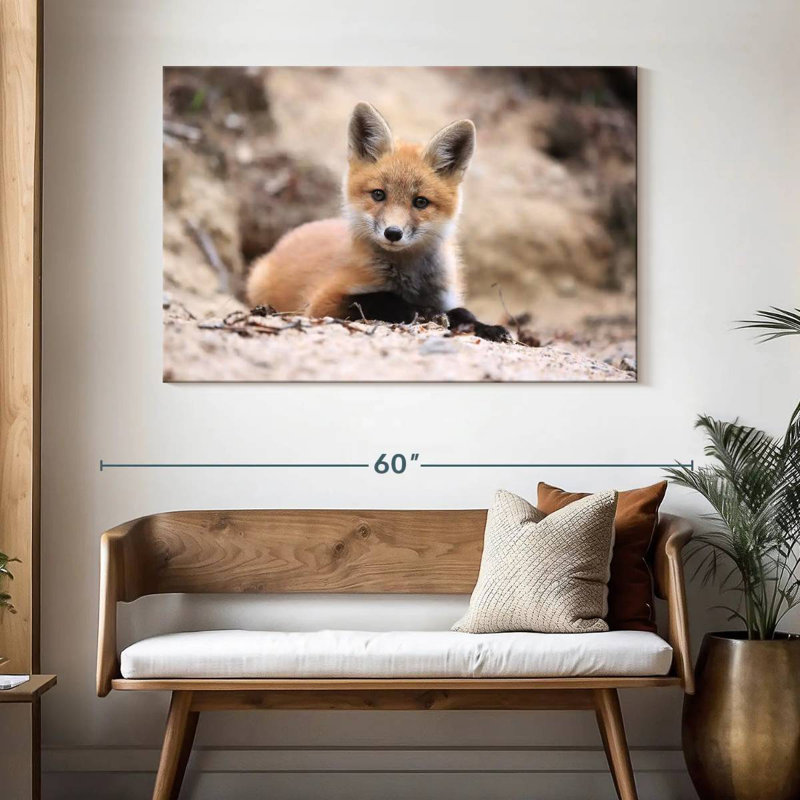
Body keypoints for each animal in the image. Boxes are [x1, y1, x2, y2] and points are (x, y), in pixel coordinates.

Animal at [246, 102, 510, 342]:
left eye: (420, 202)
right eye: (378, 194)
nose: (393, 233)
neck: (409, 279)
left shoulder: (446, 297)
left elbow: (465, 312)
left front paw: (489, 328)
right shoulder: (322, 303)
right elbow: (382, 299)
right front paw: (424, 312)